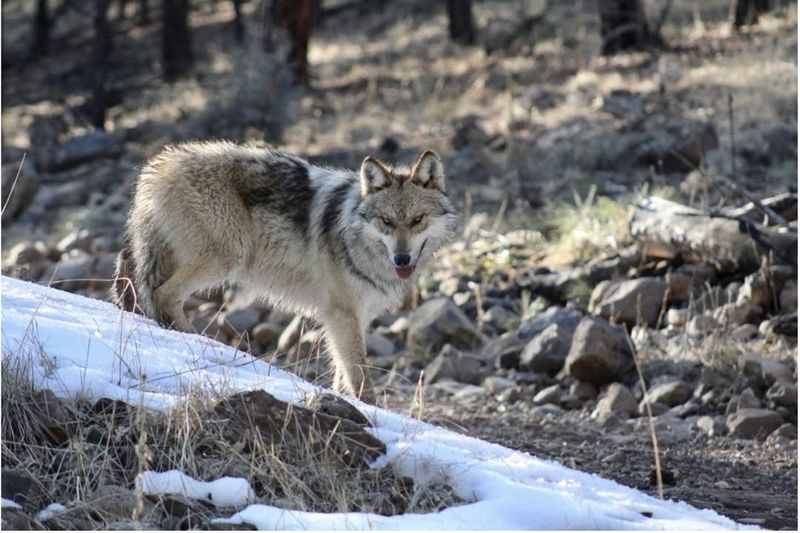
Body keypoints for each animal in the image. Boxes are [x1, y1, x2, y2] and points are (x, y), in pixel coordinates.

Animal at [115, 139, 460, 402]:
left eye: (417, 220)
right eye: (386, 221)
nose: (402, 259)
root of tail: (159, 165)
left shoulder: (352, 318)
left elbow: (343, 373)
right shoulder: (342, 313)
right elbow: (360, 376)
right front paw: (371, 410)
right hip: (227, 256)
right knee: (163, 295)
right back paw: (197, 341)